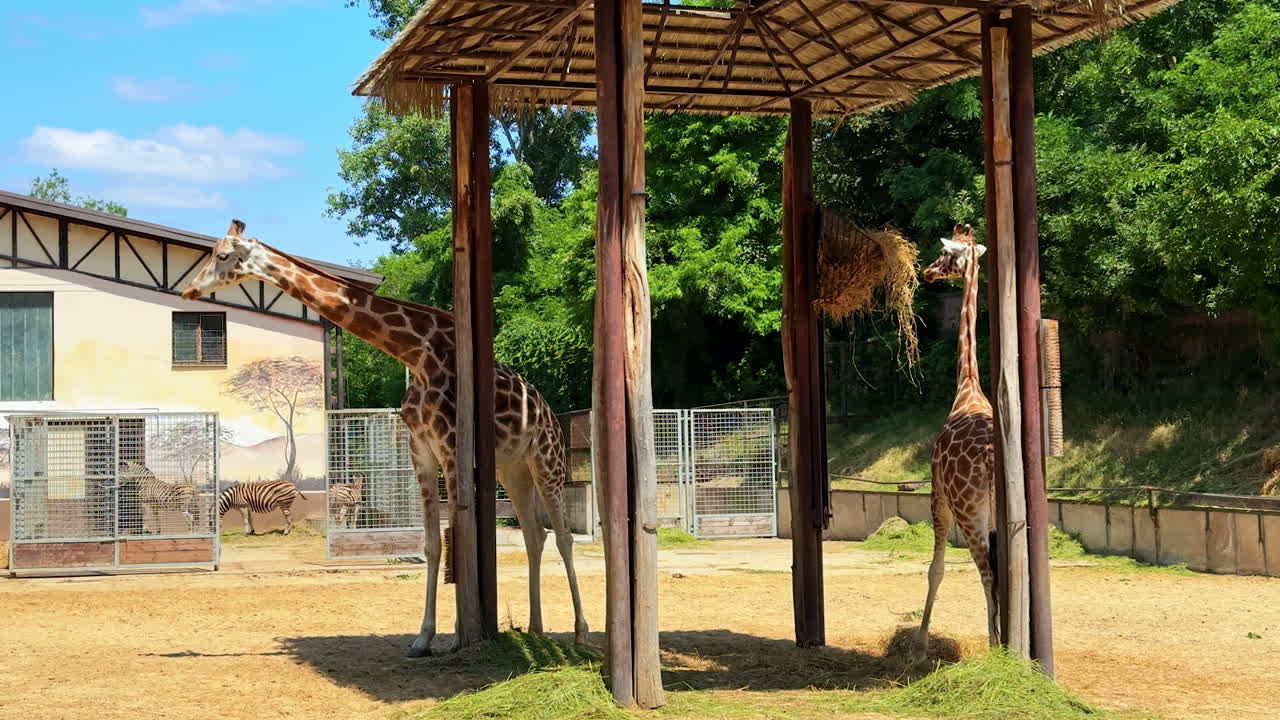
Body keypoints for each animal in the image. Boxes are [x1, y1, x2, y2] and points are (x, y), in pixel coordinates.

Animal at [181, 220, 588, 657]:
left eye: (223, 256)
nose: (189, 290)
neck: (416, 355)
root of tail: (551, 414)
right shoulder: (421, 450)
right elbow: (431, 544)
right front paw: (423, 637)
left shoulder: (450, 447)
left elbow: (461, 536)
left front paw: (459, 635)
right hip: (513, 468)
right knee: (534, 534)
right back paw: (536, 627)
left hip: (546, 460)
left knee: (564, 536)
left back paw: (580, 632)